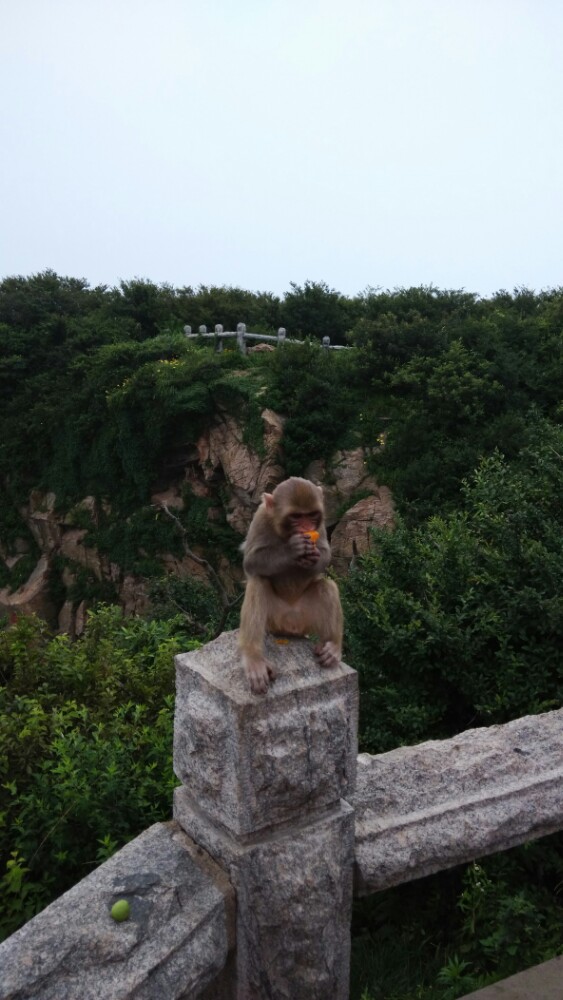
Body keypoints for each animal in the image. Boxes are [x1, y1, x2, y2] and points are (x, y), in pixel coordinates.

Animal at [239, 476, 344, 696]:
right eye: (296, 516)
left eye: (311, 515)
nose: (305, 528)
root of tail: (290, 625)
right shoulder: (260, 517)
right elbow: (251, 562)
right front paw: (293, 549)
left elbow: (325, 553)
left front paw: (313, 556)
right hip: (274, 620)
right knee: (258, 584)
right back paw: (254, 659)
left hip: (305, 618)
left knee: (327, 587)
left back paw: (332, 646)